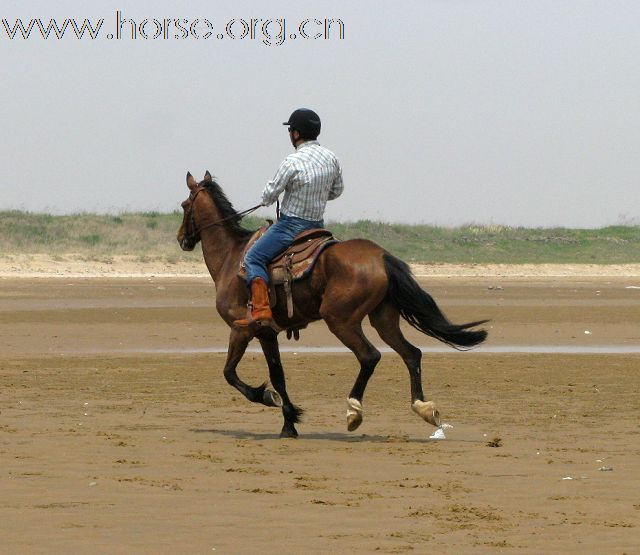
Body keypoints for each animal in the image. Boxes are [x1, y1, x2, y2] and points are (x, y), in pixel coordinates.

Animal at [178, 172, 488, 440]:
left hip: (340, 320)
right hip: (383, 319)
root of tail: (382, 256)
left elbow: (230, 373)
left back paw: (354, 411)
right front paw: (289, 423)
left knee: (370, 356)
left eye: (184, 205)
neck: (232, 258)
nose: (182, 238)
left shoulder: (241, 329)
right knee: (412, 354)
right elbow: (278, 376)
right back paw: (424, 408)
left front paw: (267, 398)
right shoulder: (267, 333)